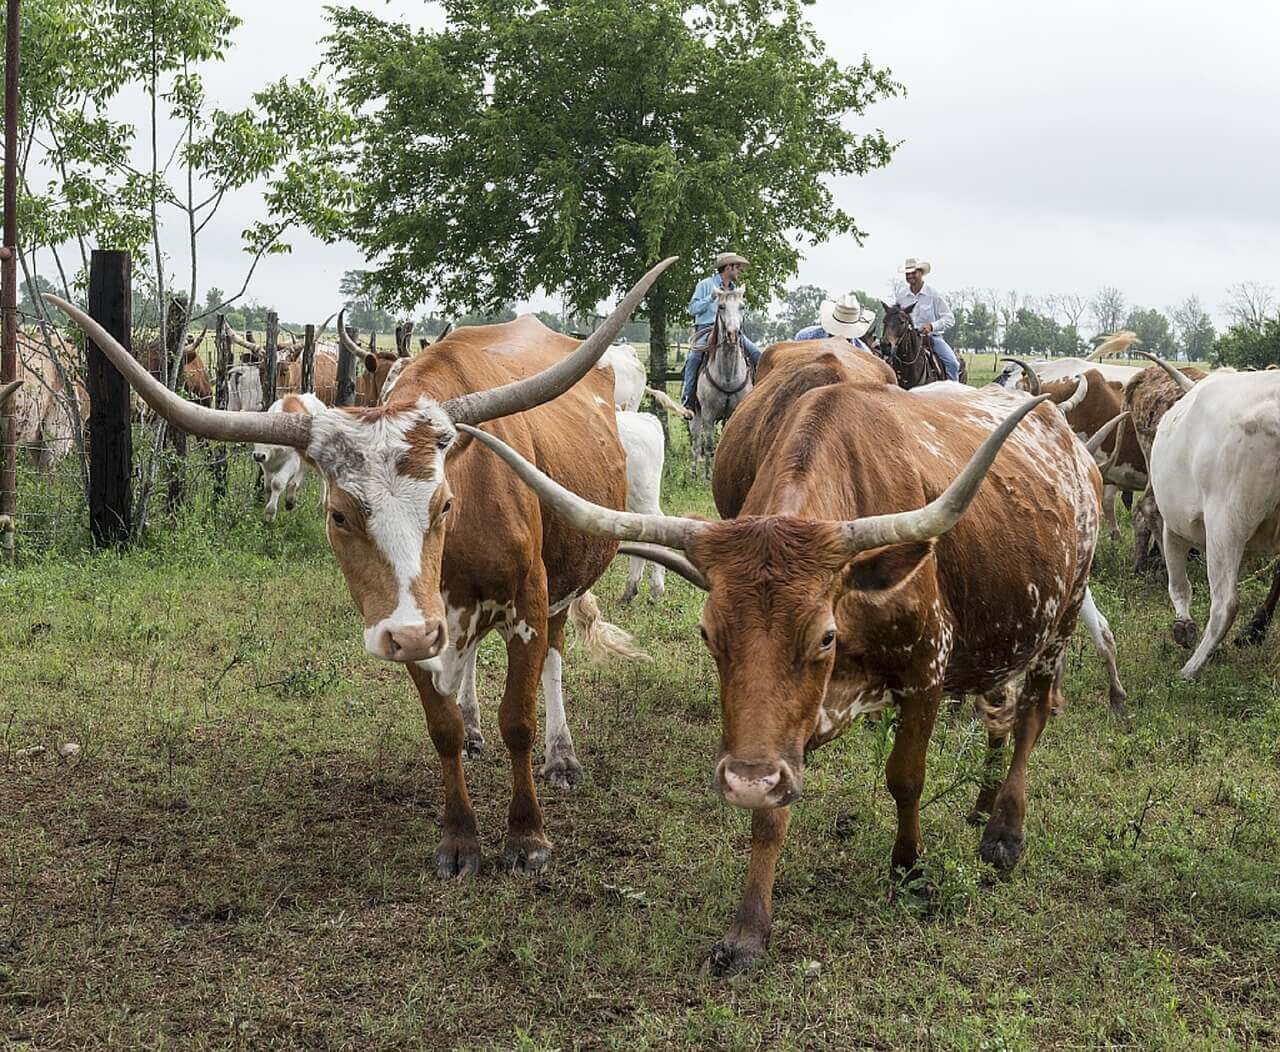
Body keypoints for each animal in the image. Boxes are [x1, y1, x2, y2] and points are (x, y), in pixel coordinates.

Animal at [691, 286, 747, 478]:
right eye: (721, 306)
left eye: (742, 306)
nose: (733, 334)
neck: (728, 377)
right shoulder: (708, 414)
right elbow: (708, 446)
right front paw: (707, 476)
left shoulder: (733, 413)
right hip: (696, 413)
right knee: (696, 443)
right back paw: (694, 473)